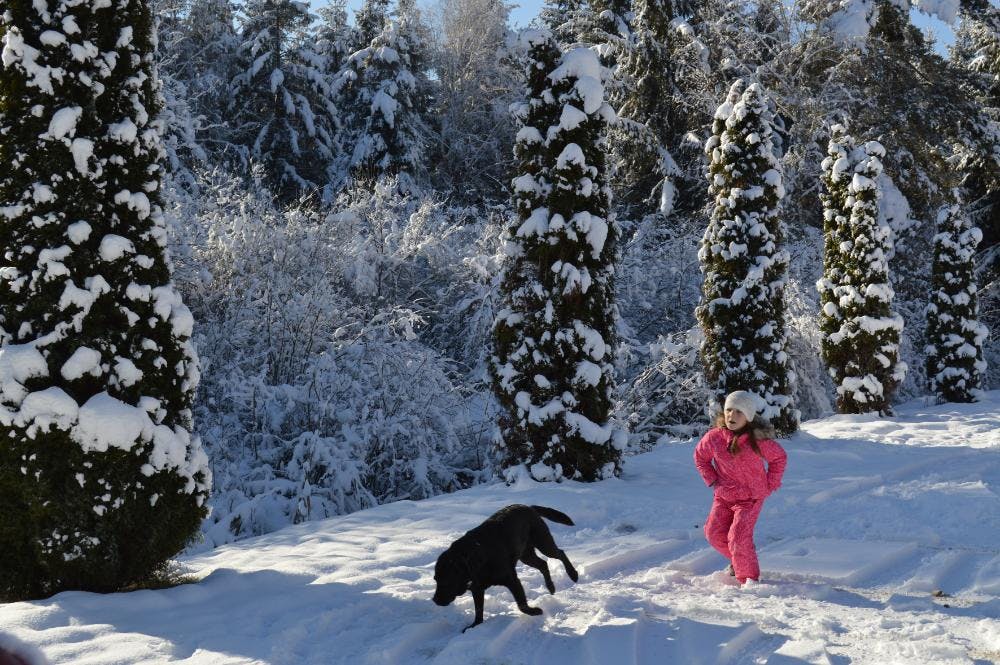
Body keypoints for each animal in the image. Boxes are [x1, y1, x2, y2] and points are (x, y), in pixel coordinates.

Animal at [430, 504, 580, 632]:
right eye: (435, 579)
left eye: (446, 581)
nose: (435, 600)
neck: (476, 559)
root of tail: (528, 506)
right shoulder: (477, 589)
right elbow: (478, 611)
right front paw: (474, 626)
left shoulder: (512, 580)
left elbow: (521, 605)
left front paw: (534, 611)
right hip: (526, 555)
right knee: (543, 564)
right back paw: (551, 587)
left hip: (543, 542)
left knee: (560, 553)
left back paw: (573, 574)